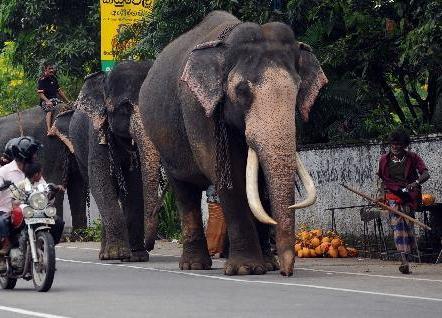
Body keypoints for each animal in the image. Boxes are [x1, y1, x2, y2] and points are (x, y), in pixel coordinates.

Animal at [53, 60, 161, 260]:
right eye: (125, 108)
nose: (149, 246)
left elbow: (135, 183)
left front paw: (138, 256)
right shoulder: (96, 132)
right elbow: (100, 180)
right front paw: (117, 255)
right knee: (96, 184)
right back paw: (106, 254)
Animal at [138, 11, 328, 276]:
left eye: (298, 89)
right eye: (241, 90)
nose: (286, 272)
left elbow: (259, 183)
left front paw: (266, 266)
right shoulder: (200, 111)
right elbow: (230, 180)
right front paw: (245, 269)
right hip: (164, 142)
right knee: (184, 191)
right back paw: (194, 265)